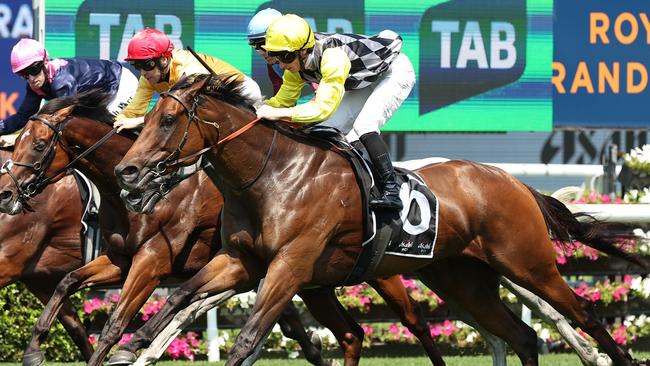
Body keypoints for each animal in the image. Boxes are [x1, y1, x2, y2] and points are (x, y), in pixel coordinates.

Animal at [114, 74, 640, 366]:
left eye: (166, 121)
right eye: (146, 119)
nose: (127, 171)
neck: (273, 175)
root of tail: (511, 181)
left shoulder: (290, 266)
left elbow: (246, 339)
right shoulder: (241, 261)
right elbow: (180, 294)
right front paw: (130, 342)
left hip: (528, 263)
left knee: (584, 313)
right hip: (462, 279)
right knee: (524, 336)